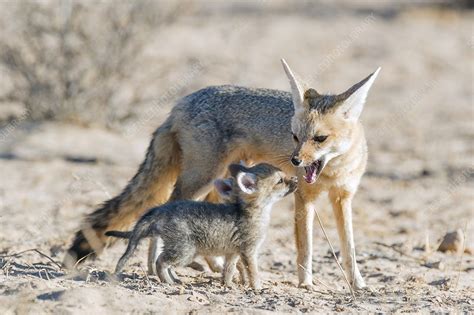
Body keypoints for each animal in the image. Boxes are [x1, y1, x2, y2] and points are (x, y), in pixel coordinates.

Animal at [65, 59, 380, 292]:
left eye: (320, 138)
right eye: (294, 136)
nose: (295, 161)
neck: (333, 172)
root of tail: (180, 103)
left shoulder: (343, 198)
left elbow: (350, 248)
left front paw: (358, 284)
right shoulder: (304, 197)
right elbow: (306, 248)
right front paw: (306, 283)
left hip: (222, 179)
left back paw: (217, 265)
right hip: (202, 178)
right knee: (166, 206)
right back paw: (155, 268)